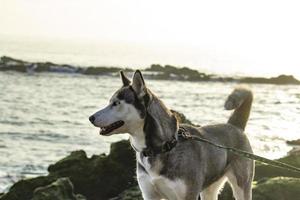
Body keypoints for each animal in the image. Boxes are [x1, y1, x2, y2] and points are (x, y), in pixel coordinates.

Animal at [88, 70, 253, 198]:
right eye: (110, 102)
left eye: (116, 103)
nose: (90, 118)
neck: (162, 147)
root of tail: (234, 125)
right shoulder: (149, 194)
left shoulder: (188, 195)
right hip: (209, 190)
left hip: (241, 186)